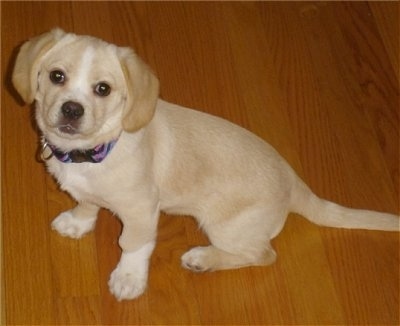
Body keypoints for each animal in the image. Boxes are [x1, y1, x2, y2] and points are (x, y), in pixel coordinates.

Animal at [12, 29, 400, 302]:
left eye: (103, 89)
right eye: (57, 76)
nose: (71, 109)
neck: (92, 152)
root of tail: (294, 182)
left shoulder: (141, 210)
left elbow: (133, 244)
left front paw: (128, 279)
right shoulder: (88, 193)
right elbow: (87, 202)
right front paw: (78, 223)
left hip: (223, 227)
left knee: (263, 255)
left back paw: (204, 259)